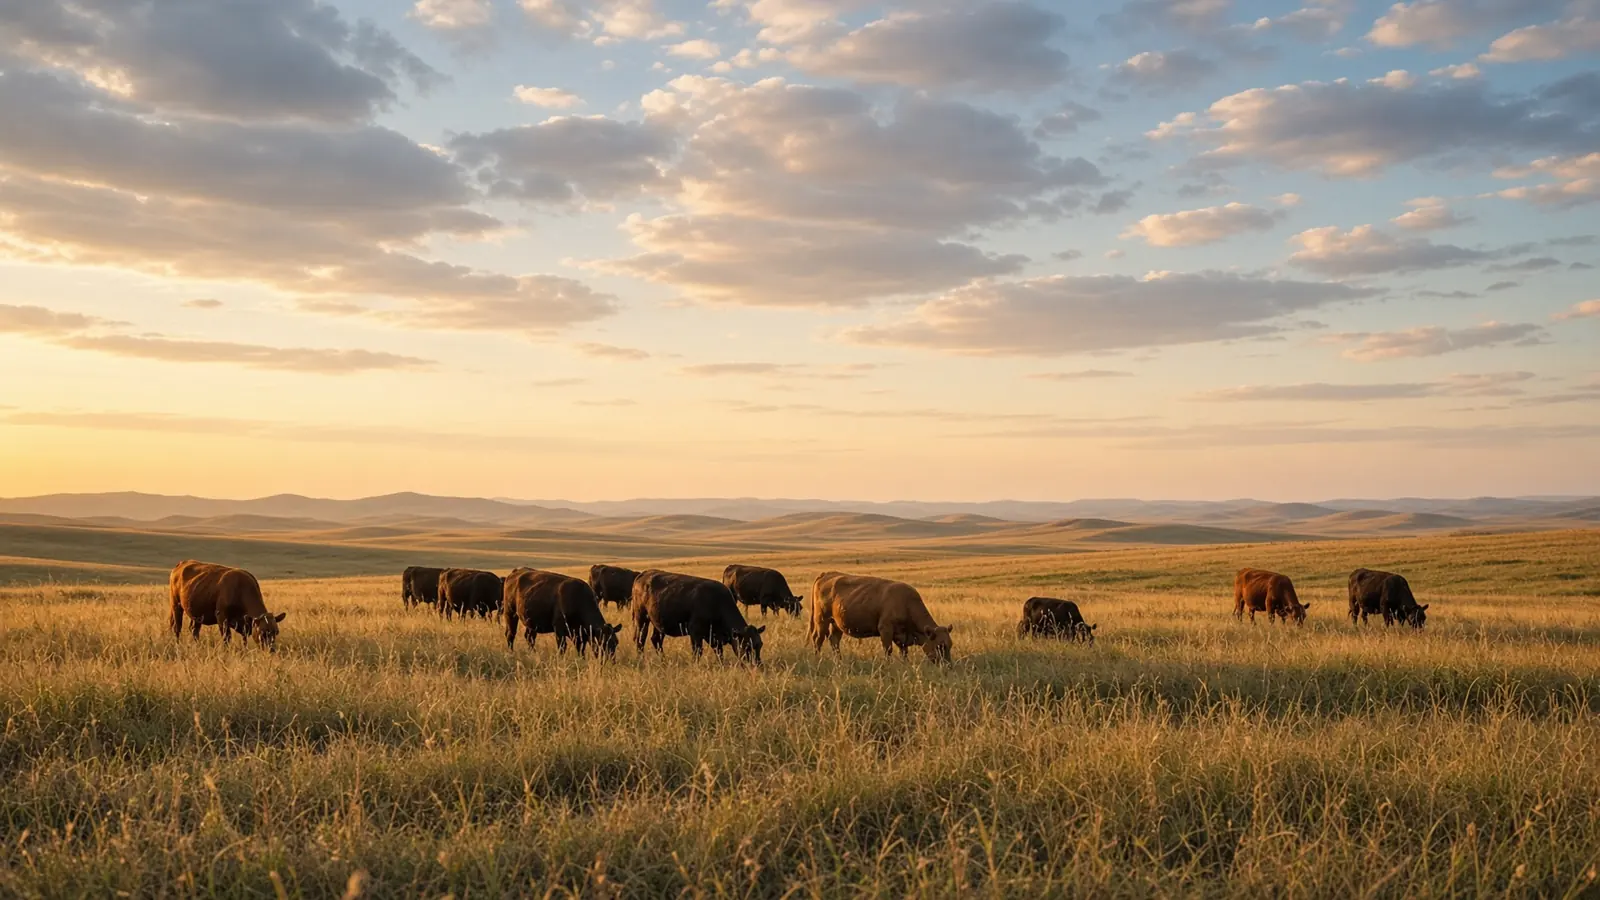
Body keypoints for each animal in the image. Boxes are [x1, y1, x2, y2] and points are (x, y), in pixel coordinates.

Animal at [631, 569, 765, 663]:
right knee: (640, 640)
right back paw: (641, 659)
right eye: (747, 646)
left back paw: (663, 660)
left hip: (659, 623)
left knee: (656, 640)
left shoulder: (713, 636)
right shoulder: (695, 632)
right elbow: (698, 651)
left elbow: (719, 652)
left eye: (760, 645)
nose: (757, 664)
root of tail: (644, 573)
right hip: (641, 618)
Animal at [810, 572, 953, 663]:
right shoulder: (886, 630)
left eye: (950, 645)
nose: (948, 665)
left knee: (834, 640)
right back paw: (817, 659)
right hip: (822, 620)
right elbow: (888, 650)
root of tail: (825, 574)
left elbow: (904, 652)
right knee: (818, 639)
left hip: (836, 623)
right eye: (940, 646)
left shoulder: (902, 637)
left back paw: (839, 661)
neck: (906, 603)